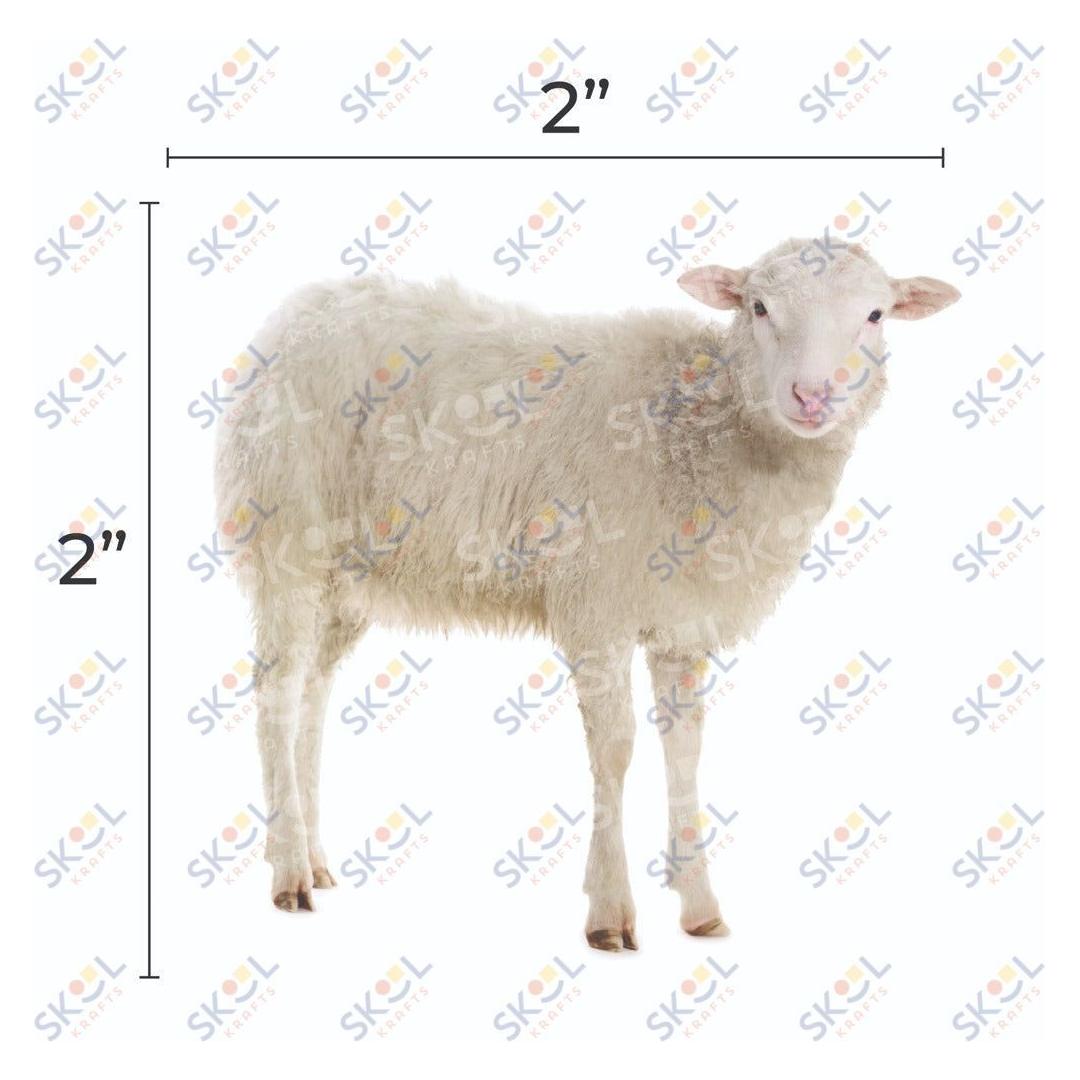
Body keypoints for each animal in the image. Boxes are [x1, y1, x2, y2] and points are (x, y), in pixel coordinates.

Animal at [215, 236, 960, 949]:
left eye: (875, 314)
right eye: (758, 307)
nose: (811, 397)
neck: (700, 430)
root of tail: (298, 310)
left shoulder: (681, 622)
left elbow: (685, 751)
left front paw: (700, 905)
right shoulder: (597, 603)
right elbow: (616, 749)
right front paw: (609, 913)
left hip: (347, 578)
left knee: (312, 695)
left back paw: (313, 857)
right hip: (288, 534)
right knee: (276, 699)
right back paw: (288, 874)